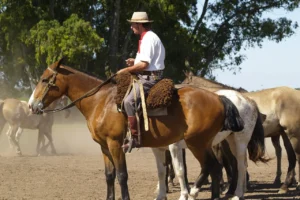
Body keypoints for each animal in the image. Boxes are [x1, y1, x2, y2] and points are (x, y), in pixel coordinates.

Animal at [27, 59, 244, 200]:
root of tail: (219, 98)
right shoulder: (104, 147)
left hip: (196, 143)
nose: (31, 105)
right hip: (204, 143)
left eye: (45, 80)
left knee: (212, 167)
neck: (101, 102)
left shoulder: (116, 145)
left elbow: (122, 176)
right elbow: (109, 176)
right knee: (216, 169)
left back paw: (194, 192)